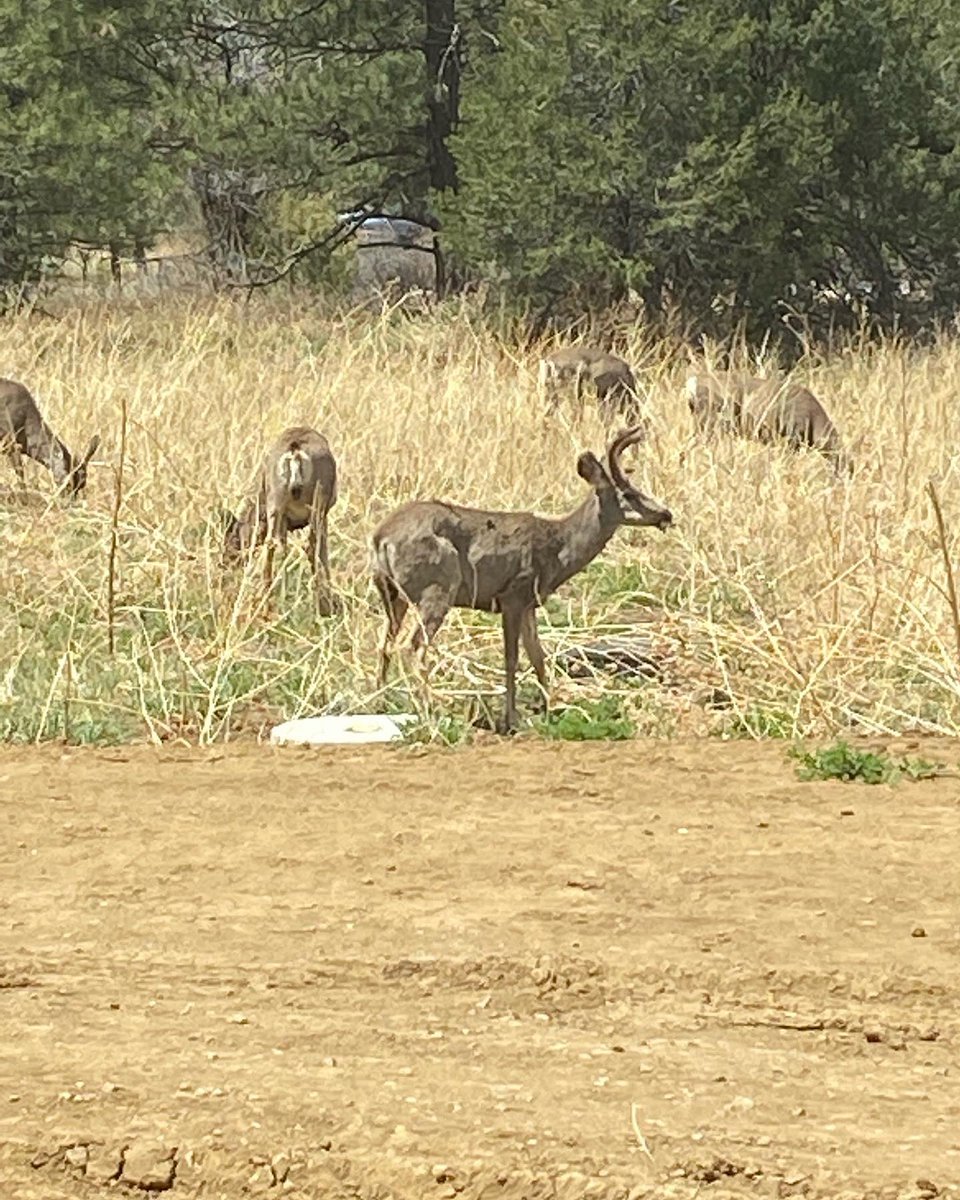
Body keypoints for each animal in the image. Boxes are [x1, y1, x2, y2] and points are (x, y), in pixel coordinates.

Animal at [223, 426, 338, 616]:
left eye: (233, 538)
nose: (225, 562)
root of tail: (295, 452)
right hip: (316, 505)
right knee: (310, 546)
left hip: (281, 506)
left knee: (275, 546)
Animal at [371, 425, 672, 733]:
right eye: (630, 493)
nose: (666, 514)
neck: (559, 548)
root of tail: (381, 537)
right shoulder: (513, 595)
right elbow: (512, 658)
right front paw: (510, 720)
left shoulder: (529, 603)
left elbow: (537, 656)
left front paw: (549, 712)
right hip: (437, 587)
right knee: (414, 645)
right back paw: (429, 710)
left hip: (392, 593)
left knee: (384, 644)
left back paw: (381, 703)